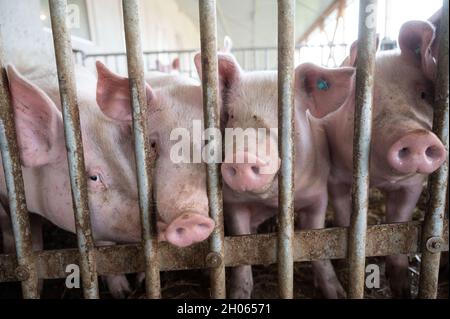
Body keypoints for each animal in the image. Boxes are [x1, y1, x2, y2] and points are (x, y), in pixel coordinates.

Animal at [195, 53, 356, 300]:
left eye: (286, 118)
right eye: (231, 116)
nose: (243, 157)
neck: (270, 201)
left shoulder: (318, 196)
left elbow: (319, 244)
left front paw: (337, 293)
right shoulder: (233, 204)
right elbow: (241, 249)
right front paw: (238, 295)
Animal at [298, 20, 446, 300]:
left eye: (424, 94)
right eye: (365, 100)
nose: (416, 135)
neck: (380, 180)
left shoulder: (413, 184)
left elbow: (398, 223)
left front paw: (401, 289)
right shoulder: (336, 177)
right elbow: (344, 215)